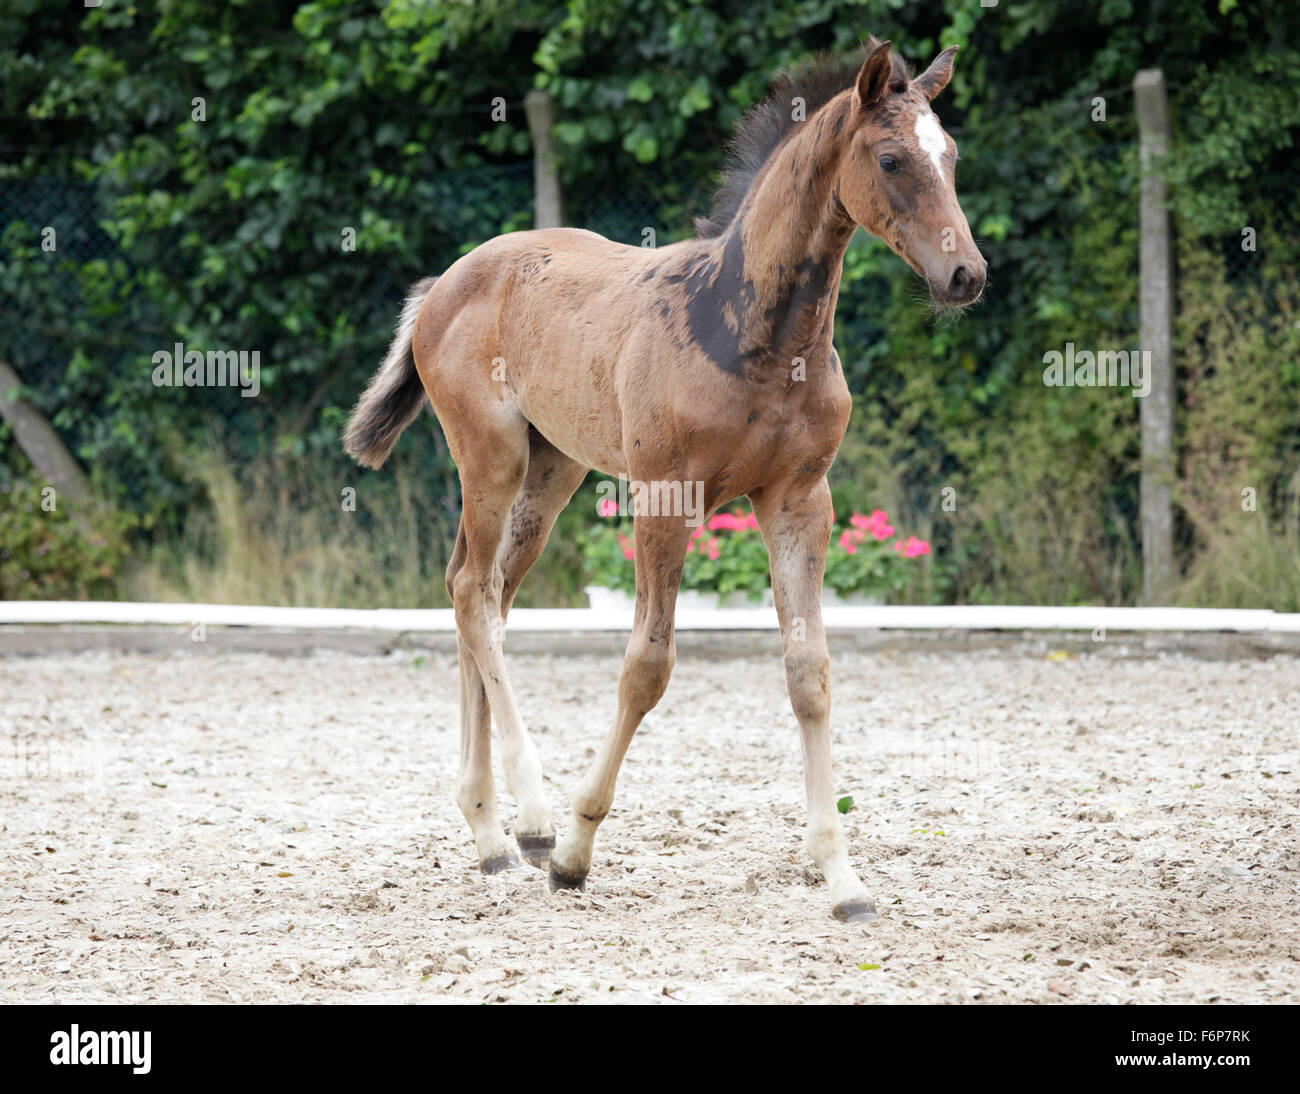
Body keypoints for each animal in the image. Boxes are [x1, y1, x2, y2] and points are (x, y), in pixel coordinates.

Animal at [344, 37, 986, 922]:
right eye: (891, 159)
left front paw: (842, 876)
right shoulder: (664, 498)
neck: (754, 331)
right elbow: (647, 666)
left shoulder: (800, 501)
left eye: (950, 154)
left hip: (554, 469)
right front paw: (575, 852)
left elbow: (810, 673)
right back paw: (531, 820)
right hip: (491, 456)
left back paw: (487, 832)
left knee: (484, 592)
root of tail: (442, 283)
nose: (967, 275)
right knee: (473, 591)